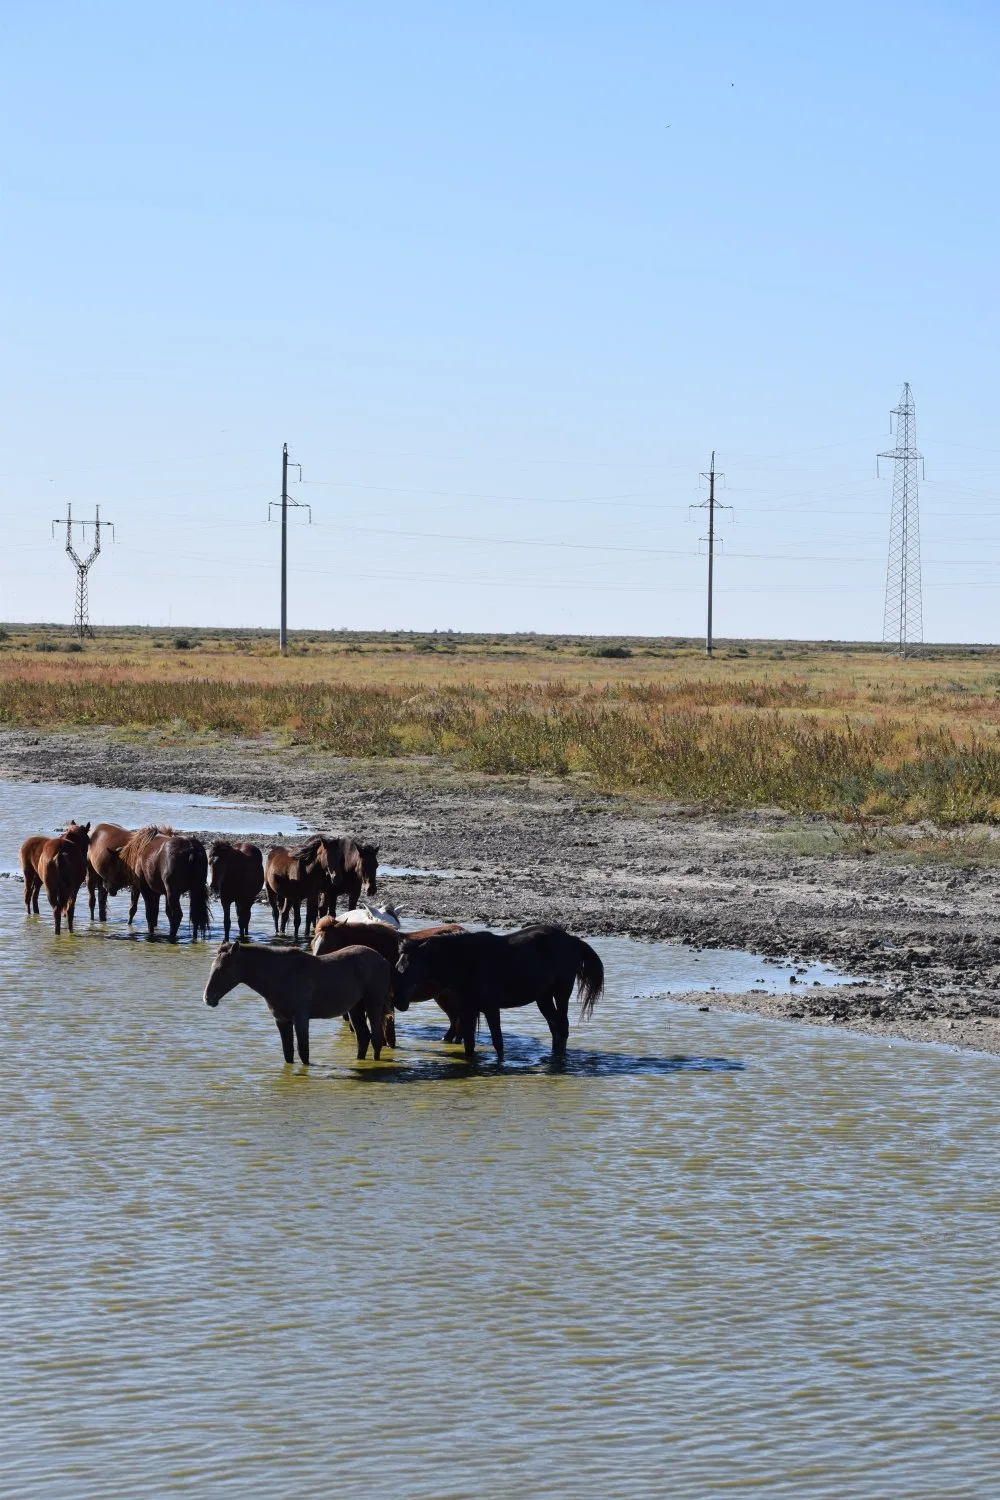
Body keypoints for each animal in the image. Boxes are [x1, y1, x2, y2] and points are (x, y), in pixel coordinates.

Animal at [203, 940, 394, 1063]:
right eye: (212, 967)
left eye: (224, 969)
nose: (208, 998)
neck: (278, 979)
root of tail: (383, 960)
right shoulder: (281, 1019)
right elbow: (288, 1054)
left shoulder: (301, 1017)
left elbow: (304, 1052)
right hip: (355, 1008)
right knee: (363, 1037)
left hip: (373, 1003)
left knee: (376, 1038)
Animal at [394, 924, 604, 1061]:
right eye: (398, 966)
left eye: (409, 967)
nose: (398, 1002)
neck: (467, 961)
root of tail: (574, 941)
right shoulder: (468, 1009)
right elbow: (469, 1045)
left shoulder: (491, 1008)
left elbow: (498, 1042)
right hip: (543, 997)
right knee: (555, 1028)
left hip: (561, 992)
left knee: (563, 1026)